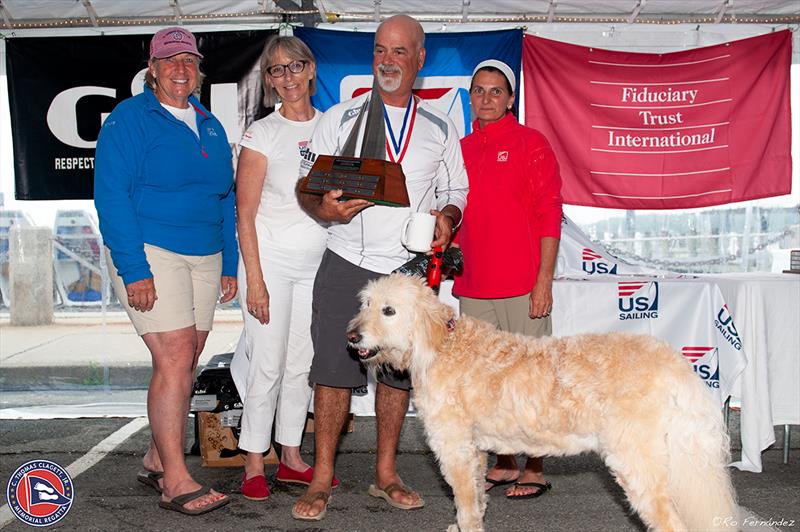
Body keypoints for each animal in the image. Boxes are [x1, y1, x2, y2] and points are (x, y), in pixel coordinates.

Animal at [348, 274, 736, 532]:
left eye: (389, 310)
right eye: (366, 304)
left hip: (638, 462)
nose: (352, 337)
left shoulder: (455, 448)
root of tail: (672, 362)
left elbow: (465, 505)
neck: (441, 344)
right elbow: (476, 500)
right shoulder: (474, 450)